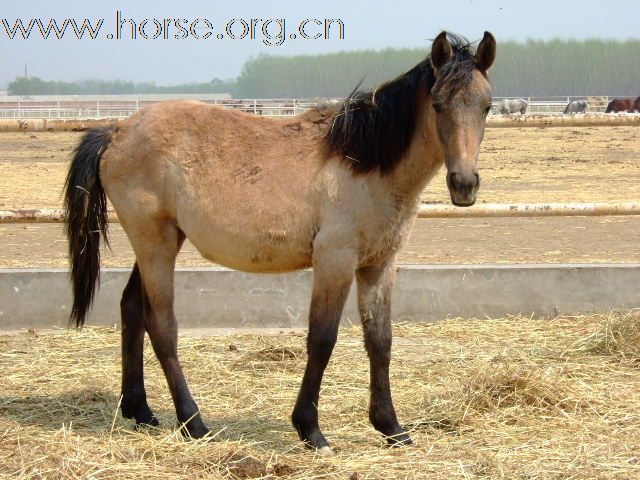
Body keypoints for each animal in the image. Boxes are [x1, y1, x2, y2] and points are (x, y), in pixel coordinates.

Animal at [62, 32, 498, 454]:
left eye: (487, 107)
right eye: (438, 104)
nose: (464, 184)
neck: (363, 162)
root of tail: (117, 131)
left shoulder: (379, 265)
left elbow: (381, 341)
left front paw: (391, 427)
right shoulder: (335, 261)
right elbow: (322, 339)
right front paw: (311, 430)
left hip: (162, 241)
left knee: (132, 309)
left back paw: (141, 411)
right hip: (156, 244)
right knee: (162, 325)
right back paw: (194, 423)